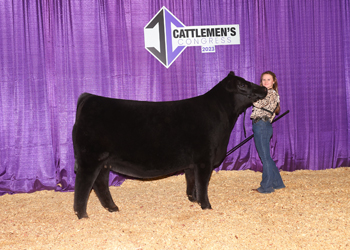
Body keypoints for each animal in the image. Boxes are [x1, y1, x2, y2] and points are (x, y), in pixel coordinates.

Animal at [72, 71, 266, 218]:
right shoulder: (204, 159)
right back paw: (82, 215)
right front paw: (206, 205)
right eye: (242, 85)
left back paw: (112, 207)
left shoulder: (192, 162)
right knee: (83, 185)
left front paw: (193, 199)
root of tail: (89, 98)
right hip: (90, 159)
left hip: (104, 162)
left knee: (100, 184)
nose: (264, 88)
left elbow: (191, 180)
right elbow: (203, 183)